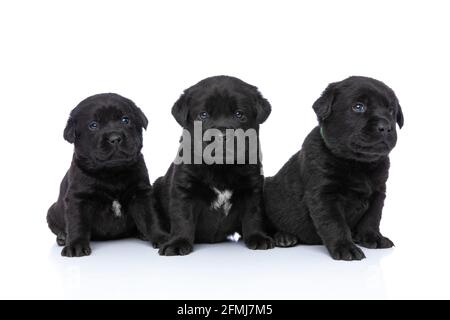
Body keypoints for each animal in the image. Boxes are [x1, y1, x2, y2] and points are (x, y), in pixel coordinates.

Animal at [47, 93, 167, 258]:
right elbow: (77, 222)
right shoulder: (78, 198)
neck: (112, 173)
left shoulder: (141, 194)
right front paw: (76, 245)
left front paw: (161, 237)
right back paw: (62, 237)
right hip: (51, 211)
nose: (115, 138)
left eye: (125, 120)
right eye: (93, 125)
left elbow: (151, 217)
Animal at [155, 75, 274, 255]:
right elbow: (182, 218)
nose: (222, 135)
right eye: (203, 115)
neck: (221, 167)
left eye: (239, 114)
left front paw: (258, 237)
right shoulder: (184, 188)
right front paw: (177, 242)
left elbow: (253, 215)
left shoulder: (252, 188)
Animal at [264, 77, 404, 260]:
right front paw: (345, 247)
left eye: (391, 110)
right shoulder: (325, 195)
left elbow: (372, 218)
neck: (359, 164)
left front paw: (373, 238)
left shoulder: (378, 192)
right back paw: (284, 237)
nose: (386, 127)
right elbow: (335, 224)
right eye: (358, 107)